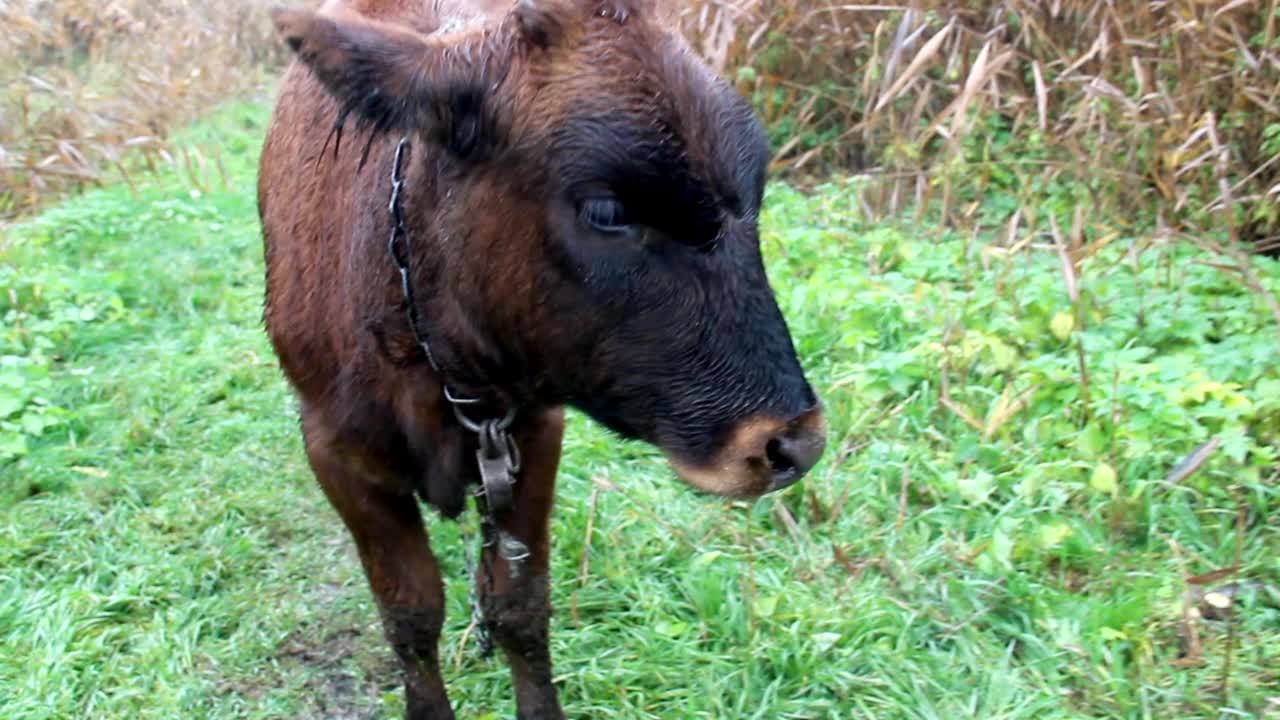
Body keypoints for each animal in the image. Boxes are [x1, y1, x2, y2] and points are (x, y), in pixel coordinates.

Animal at [257, 1, 829, 717]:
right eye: (606, 209)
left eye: (756, 190)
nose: (793, 443)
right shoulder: (337, 453)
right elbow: (411, 614)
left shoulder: (531, 433)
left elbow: (519, 607)